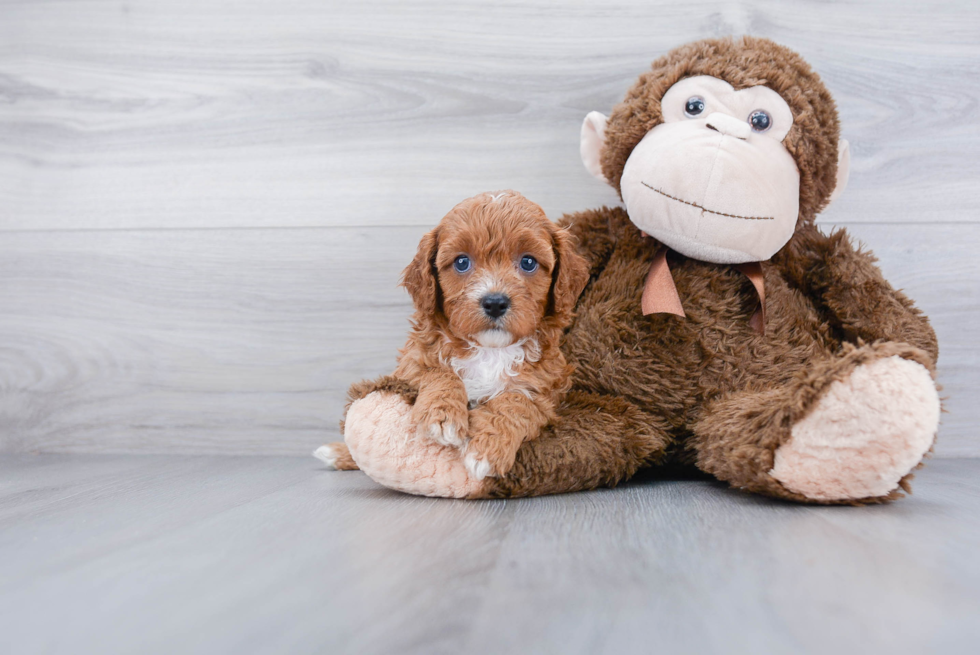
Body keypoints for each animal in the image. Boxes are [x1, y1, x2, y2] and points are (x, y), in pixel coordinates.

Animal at [318, 192, 584, 480]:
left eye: (528, 262)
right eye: (462, 262)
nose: (494, 303)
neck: (489, 351)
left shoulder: (546, 393)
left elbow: (516, 401)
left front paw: (486, 448)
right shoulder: (410, 366)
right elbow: (438, 372)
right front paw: (442, 415)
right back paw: (337, 453)